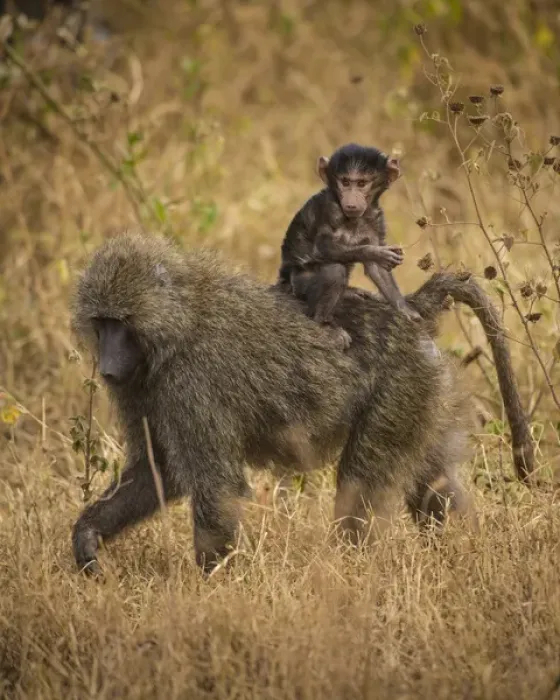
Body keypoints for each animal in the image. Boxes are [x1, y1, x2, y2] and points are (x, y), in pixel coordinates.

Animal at [70, 230, 534, 576]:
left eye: (121, 323)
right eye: (102, 323)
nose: (108, 369)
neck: (175, 323)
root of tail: (410, 312)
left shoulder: (191, 382)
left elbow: (216, 486)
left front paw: (211, 593)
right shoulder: (142, 389)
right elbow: (158, 469)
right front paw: (87, 537)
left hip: (399, 389)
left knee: (360, 485)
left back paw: (351, 574)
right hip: (425, 391)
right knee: (432, 483)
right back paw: (463, 553)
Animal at [275, 143, 421, 350]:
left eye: (361, 183)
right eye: (345, 182)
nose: (351, 200)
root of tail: (282, 281)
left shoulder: (376, 221)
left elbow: (377, 270)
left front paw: (406, 311)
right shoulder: (328, 209)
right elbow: (324, 247)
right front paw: (376, 253)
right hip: (298, 285)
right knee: (334, 271)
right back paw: (323, 323)